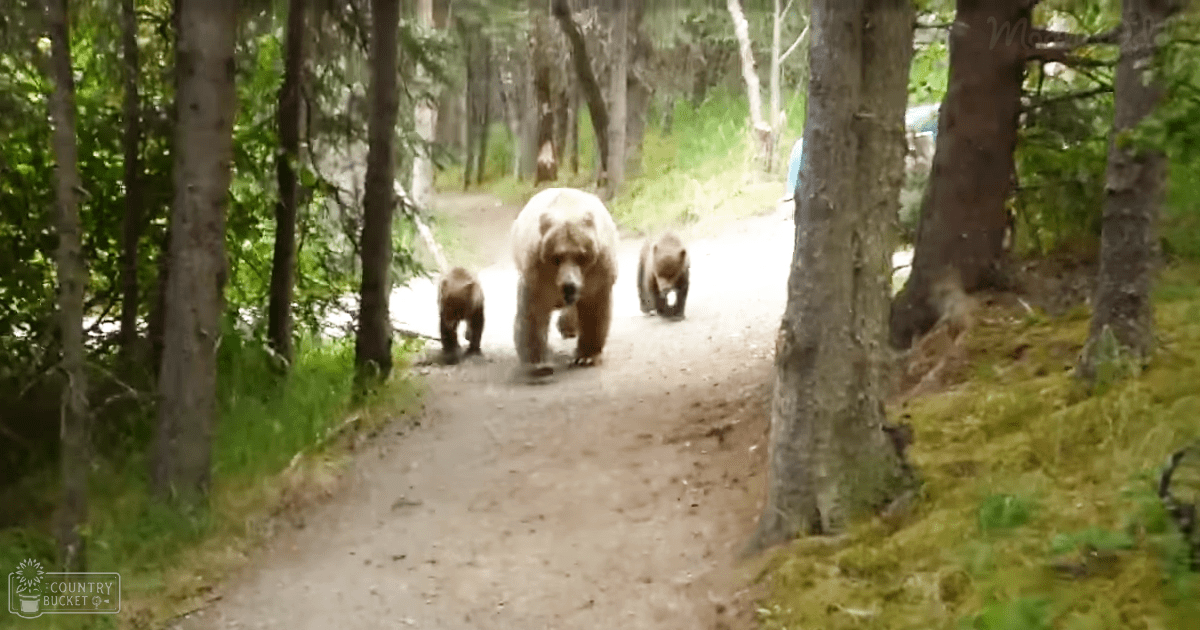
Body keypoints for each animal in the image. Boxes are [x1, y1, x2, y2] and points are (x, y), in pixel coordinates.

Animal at [510, 187, 619, 377]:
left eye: (581, 256)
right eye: (556, 257)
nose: (570, 285)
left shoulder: (597, 273)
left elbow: (594, 311)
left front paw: (587, 356)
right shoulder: (538, 276)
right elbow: (533, 314)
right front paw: (538, 363)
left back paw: (568, 327)